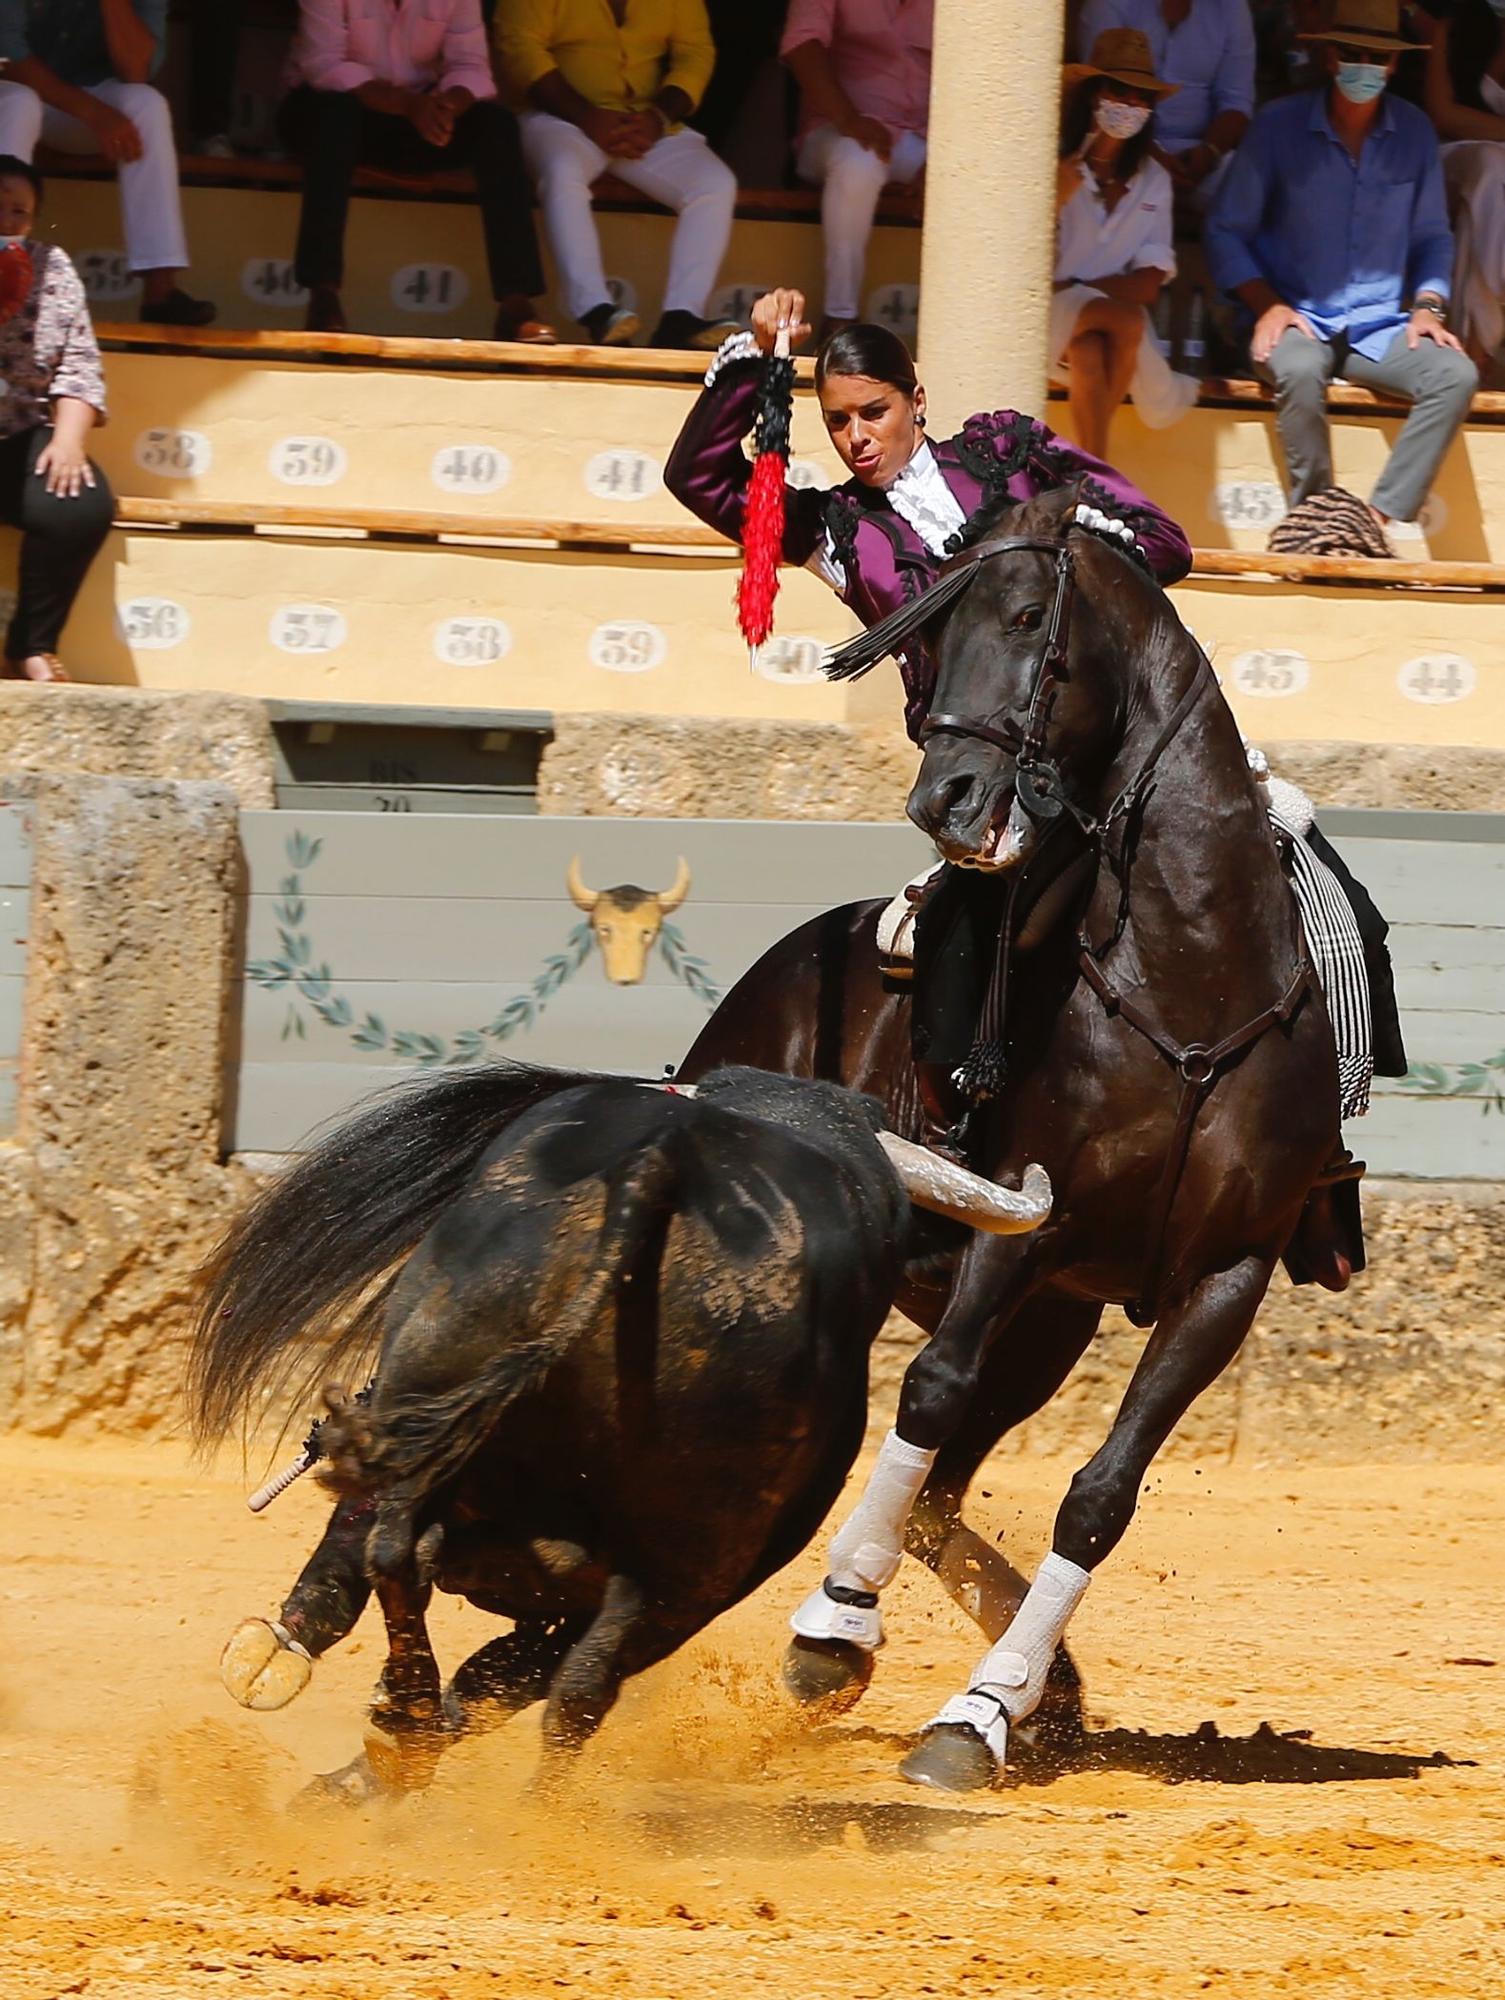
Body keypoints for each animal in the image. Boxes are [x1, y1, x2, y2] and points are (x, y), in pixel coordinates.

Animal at [676, 488, 1336, 1800]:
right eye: (931, 627)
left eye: (1030, 617)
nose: (945, 798)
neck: (1188, 979)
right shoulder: (1020, 1226)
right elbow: (926, 1394)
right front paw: (832, 1622)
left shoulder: (1219, 1278)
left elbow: (1096, 1496)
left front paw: (982, 1709)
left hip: (1051, 1326)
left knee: (945, 1487)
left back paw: (1045, 1686)